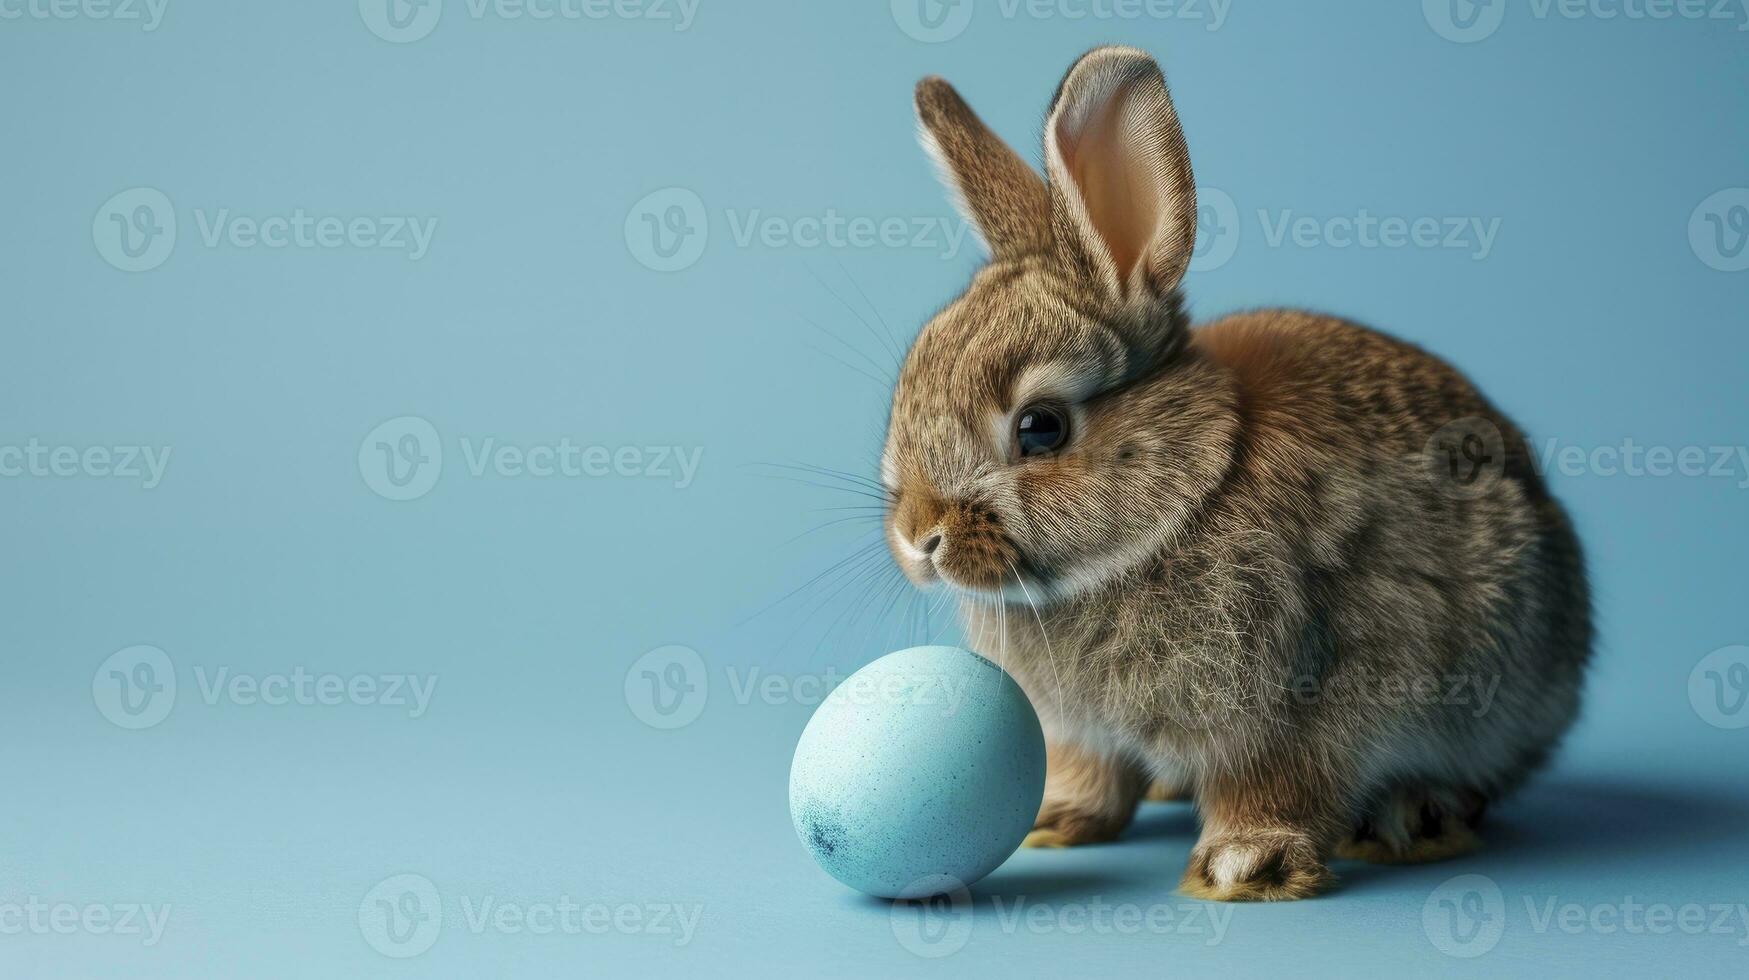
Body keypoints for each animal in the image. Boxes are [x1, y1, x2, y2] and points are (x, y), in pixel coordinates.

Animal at [881, 47, 1595, 903]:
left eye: (1040, 427)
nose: (918, 537)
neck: (1186, 497)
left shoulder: (1306, 702)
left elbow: (1278, 782)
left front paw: (1244, 867)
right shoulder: (1083, 731)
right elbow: (1094, 774)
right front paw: (1054, 819)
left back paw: (1412, 818)